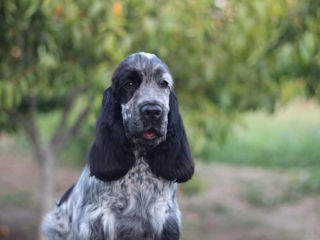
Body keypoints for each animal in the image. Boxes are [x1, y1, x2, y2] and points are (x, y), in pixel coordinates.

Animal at [42, 52, 195, 240]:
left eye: (164, 84)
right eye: (129, 84)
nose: (153, 111)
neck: (139, 171)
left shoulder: (167, 223)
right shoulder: (96, 225)